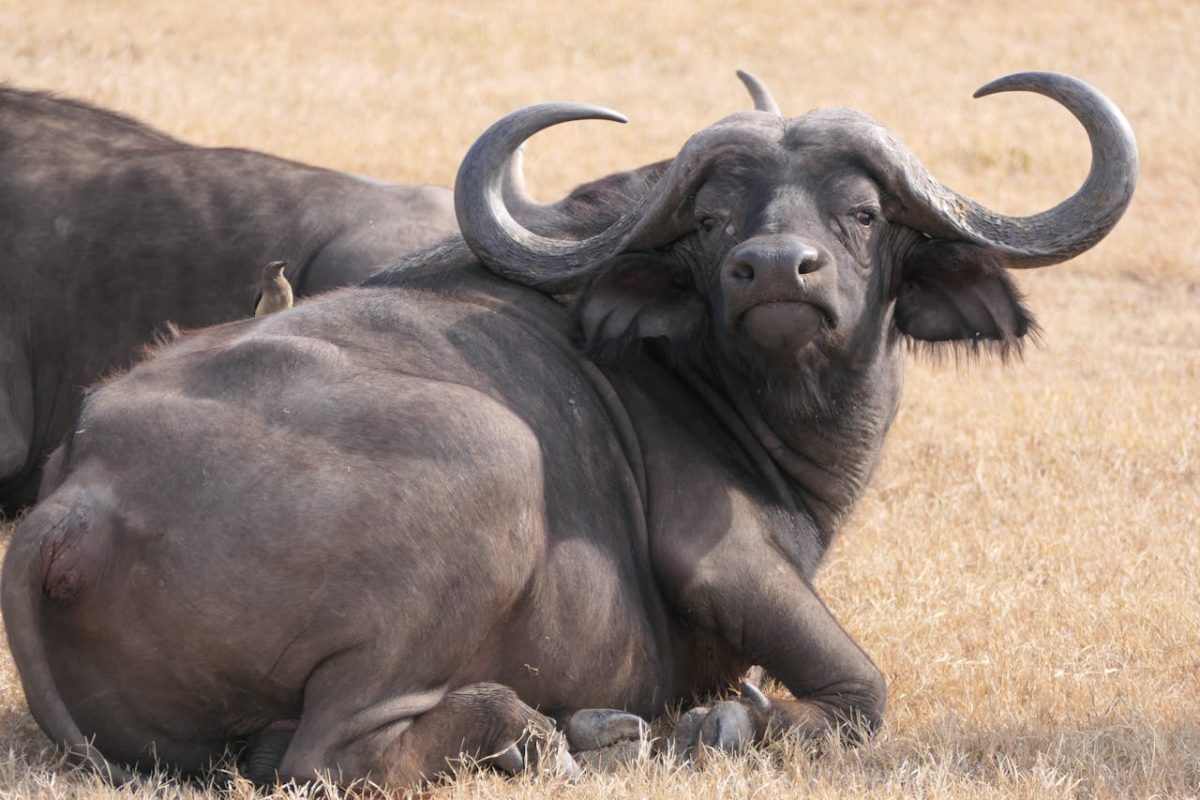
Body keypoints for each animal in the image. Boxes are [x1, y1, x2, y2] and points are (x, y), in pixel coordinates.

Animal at [1, 72, 1136, 788]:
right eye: (711, 219)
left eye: (861, 212)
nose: (774, 269)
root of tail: (82, 495)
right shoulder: (724, 557)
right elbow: (858, 688)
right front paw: (733, 721)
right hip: (492, 454)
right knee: (328, 755)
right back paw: (536, 734)